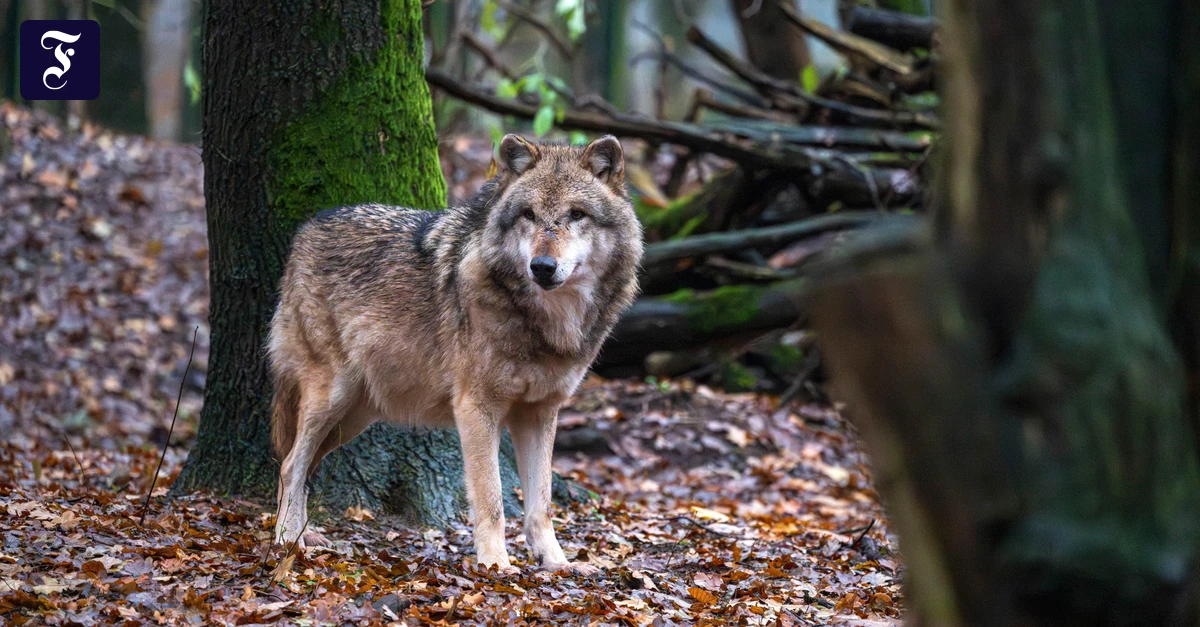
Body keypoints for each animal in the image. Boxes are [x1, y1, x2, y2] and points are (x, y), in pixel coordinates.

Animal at [268, 135, 643, 574]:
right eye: (529, 215)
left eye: (577, 214)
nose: (542, 266)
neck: (545, 322)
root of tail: (307, 228)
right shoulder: (476, 408)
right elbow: (492, 499)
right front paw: (496, 564)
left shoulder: (539, 413)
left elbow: (542, 505)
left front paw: (556, 563)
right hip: (331, 397)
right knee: (290, 465)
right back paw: (287, 541)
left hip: (353, 417)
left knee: (301, 466)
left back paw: (302, 535)